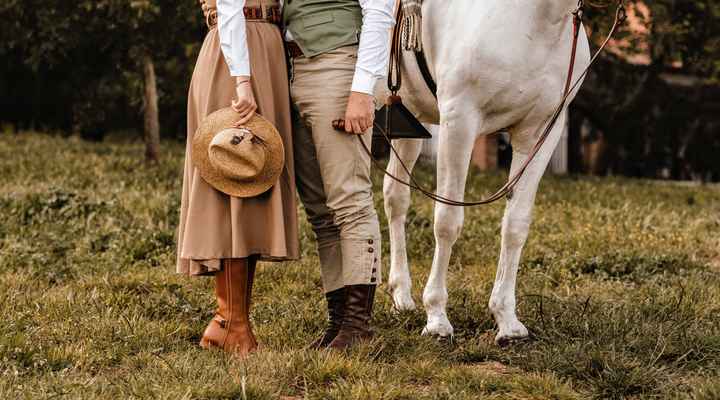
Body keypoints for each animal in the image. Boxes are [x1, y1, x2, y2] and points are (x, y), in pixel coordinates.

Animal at [382, 0, 592, 344]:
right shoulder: (459, 121)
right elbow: (447, 221)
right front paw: (437, 317)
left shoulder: (539, 133)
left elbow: (515, 225)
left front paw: (506, 319)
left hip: (408, 119)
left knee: (395, 196)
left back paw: (401, 294)